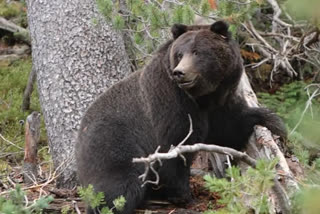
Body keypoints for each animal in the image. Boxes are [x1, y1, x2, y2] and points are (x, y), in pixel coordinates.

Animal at [76, 20, 286, 214]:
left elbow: (229, 129)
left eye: (197, 52)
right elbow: (177, 144)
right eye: (179, 54)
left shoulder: (220, 102)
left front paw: (272, 120)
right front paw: (183, 195)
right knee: (121, 183)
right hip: (113, 142)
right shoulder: (172, 101)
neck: (203, 96)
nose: (180, 72)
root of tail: (79, 137)